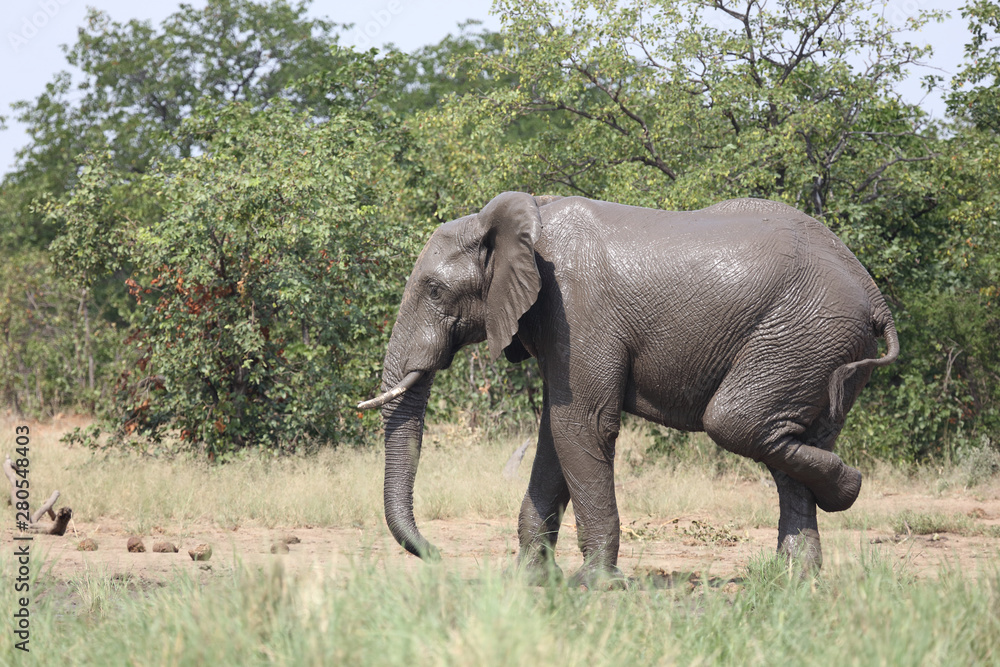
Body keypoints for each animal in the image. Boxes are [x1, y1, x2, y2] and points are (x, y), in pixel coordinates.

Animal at [358, 192, 899, 585]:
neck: (521, 222)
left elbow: (582, 426)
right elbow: (556, 434)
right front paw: (532, 581)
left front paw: (595, 585)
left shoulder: (576, 309)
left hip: (804, 333)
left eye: (434, 290)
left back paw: (846, 490)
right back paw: (798, 576)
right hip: (818, 346)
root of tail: (875, 296)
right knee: (791, 439)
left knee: (737, 423)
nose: (438, 555)